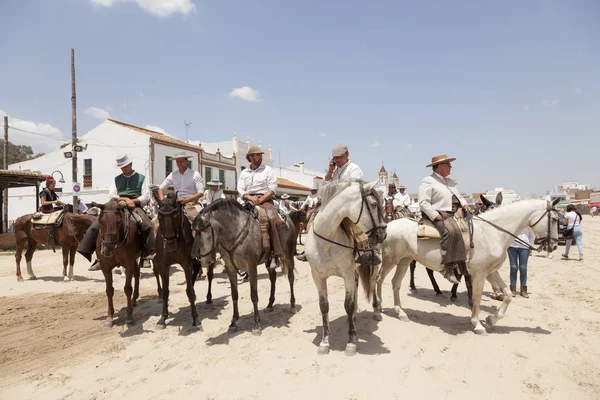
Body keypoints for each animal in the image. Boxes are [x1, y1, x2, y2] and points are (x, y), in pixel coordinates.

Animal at [98, 198, 145, 326]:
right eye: (101, 221)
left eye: (119, 222)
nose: (107, 249)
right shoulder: (105, 267)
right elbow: (109, 290)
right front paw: (109, 318)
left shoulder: (128, 263)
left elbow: (127, 289)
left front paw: (129, 317)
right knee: (137, 273)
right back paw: (134, 299)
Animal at [192, 199, 298, 334]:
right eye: (193, 233)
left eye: (205, 233)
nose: (202, 260)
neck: (236, 231)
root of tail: (288, 219)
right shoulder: (230, 269)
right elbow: (234, 295)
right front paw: (233, 322)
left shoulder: (251, 268)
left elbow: (254, 296)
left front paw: (256, 324)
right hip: (269, 261)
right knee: (273, 278)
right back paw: (270, 305)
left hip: (288, 256)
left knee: (291, 278)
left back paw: (293, 305)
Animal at [308, 180, 386, 354]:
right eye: (373, 204)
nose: (383, 234)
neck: (326, 241)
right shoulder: (317, 276)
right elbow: (324, 306)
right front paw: (325, 341)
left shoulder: (347, 273)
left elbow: (348, 305)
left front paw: (351, 342)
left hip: (371, 268)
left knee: (373, 283)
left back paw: (376, 311)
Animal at [372, 199, 560, 334]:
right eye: (555, 219)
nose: (554, 245)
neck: (492, 233)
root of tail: (387, 226)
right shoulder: (479, 274)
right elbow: (476, 298)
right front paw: (477, 324)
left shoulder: (491, 272)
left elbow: (507, 296)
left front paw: (491, 319)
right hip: (390, 260)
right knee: (379, 280)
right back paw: (378, 310)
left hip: (404, 261)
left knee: (396, 283)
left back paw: (401, 312)